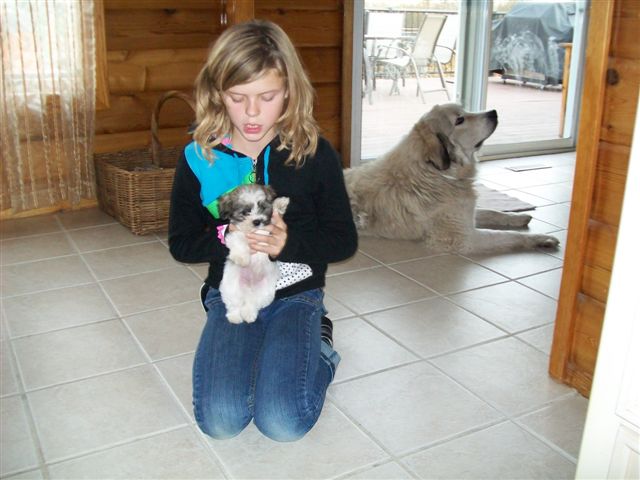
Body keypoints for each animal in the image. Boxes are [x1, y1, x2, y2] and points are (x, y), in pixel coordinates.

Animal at [218, 184, 289, 323]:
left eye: (262, 207)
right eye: (246, 212)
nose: (257, 221)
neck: (256, 231)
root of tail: (247, 292)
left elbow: (274, 214)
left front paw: (280, 203)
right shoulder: (235, 233)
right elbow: (240, 239)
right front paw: (241, 258)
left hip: (265, 292)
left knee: (252, 303)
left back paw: (249, 314)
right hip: (231, 288)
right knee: (234, 305)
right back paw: (235, 317)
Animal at [344, 103, 560, 254]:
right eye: (460, 120)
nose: (493, 112)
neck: (437, 173)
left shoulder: (464, 212)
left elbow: (491, 212)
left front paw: (517, 217)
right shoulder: (466, 238)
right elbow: (508, 237)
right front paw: (540, 239)